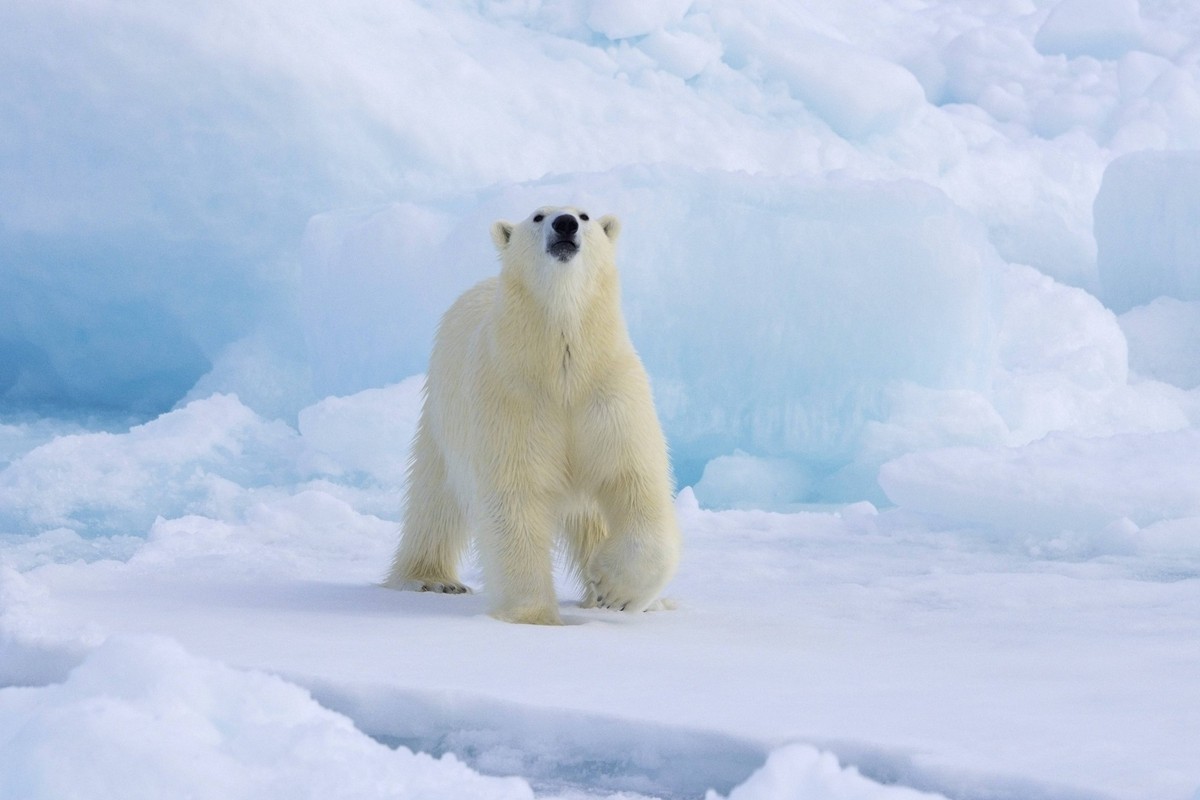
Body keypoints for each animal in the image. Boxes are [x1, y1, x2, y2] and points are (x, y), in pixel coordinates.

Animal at [383, 206, 681, 625]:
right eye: (538, 216)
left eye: (584, 215)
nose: (565, 224)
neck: (560, 370)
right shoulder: (511, 398)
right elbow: (514, 496)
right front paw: (533, 616)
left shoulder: (608, 395)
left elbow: (635, 481)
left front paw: (615, 591)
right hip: (443, 414)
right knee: (435, 498)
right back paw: (431, 579)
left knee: (593, 518)